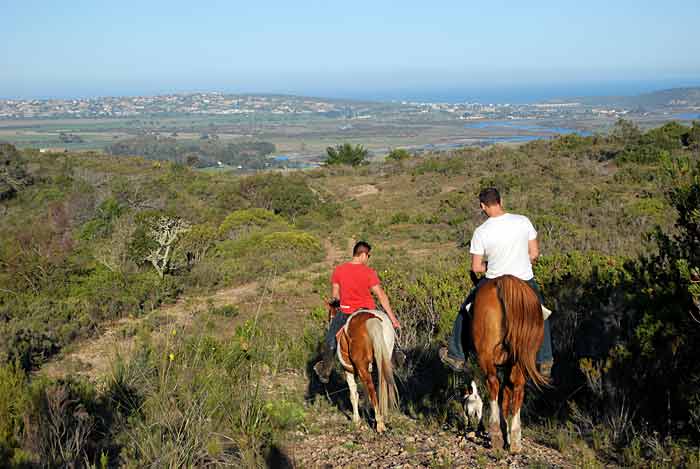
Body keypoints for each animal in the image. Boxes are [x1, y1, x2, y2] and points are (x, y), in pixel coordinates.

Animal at [332, 304, 400, 432]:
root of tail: (372, 319)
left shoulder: (348, 370)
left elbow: (354, 394)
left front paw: (357, 420)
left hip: (362, 367)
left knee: (371, 390)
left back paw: (380, 424)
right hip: (383, 360)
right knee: (380, 386)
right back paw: (383, 417)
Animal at [468, 276, 548, 452]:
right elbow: (506, 394)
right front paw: (508, 436)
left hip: (486, 355)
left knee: (493, 384)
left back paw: (496, 433)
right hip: (520, 359)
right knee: (517, 388)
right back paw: (516, 439)